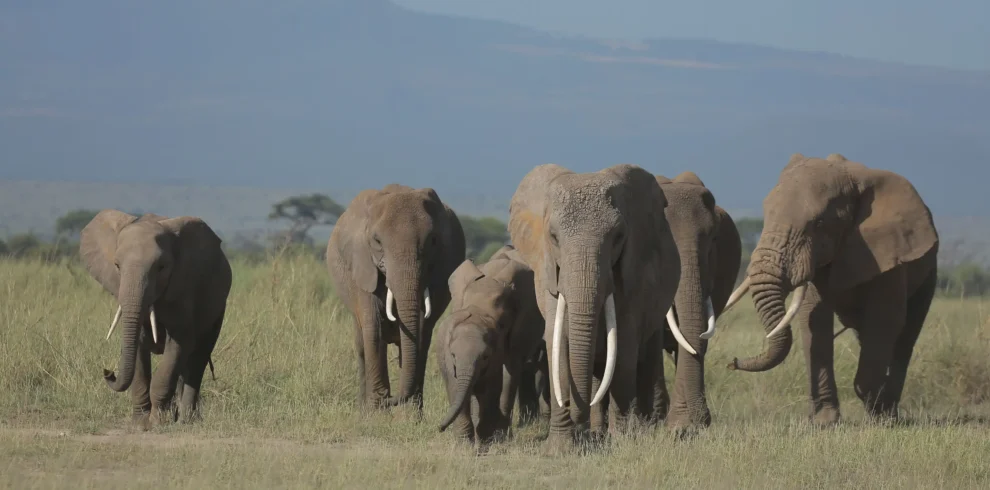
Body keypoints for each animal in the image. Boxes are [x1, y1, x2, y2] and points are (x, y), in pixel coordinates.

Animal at [79, 210, 231, 428]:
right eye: (117, 266)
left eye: (161, 267)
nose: (108, 372)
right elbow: (139, 348)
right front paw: (140, 423)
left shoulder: (183, 290)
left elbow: (178, 344)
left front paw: (158, 422)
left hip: (218, 306)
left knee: (198, 358)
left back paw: (186, 419)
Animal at [326, 184, 466, 411]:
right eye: (377, 242)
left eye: (433, 241)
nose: (390, 400)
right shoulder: (362, 266)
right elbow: (373, 328)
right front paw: (376, 409)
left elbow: (420, 332)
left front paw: (407, 414)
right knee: (363, 343)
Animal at [436, 245, 547, 447]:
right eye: (465, 308)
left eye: (502, 324)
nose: (439, 428)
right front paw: (468, 442)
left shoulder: (518, 332)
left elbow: (506, 375)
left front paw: (496, 438)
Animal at [508, 163, 681, 449]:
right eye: (553, 237)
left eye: (619, 237)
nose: (579, 426)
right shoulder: (548, 274)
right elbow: (558, 343)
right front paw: (560, 448)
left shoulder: (632, 277)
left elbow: (624, 346)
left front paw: (621, 441)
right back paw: (598, 431)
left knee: (644, 358)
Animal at [723, 153, 938, 425]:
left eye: (819, 223)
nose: (732, 362)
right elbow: (814, 319)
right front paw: (824, 422)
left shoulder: (890, 253)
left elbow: (885, 319)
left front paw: (878, 415)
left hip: (929, 268)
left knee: (905, 334)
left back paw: (889, 413)